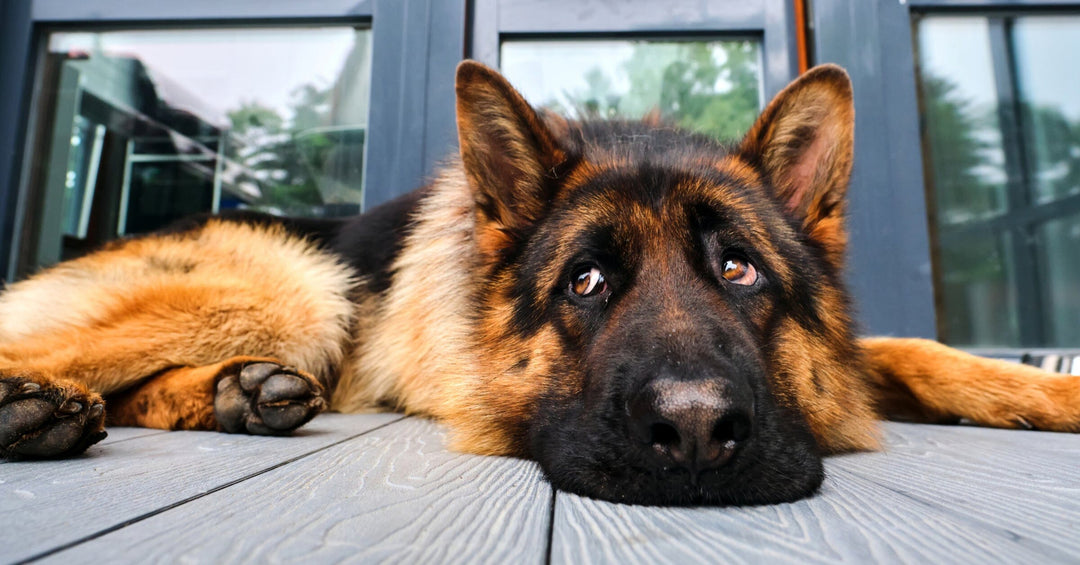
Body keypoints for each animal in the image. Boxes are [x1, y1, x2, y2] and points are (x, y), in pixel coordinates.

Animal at [0, 60, 1075, 503]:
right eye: (586, 280)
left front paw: (1047, 390)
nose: (694, 432)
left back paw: (237, 394)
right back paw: (35, 404)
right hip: (298, 284)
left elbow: (918, 350)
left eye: (739, 269)